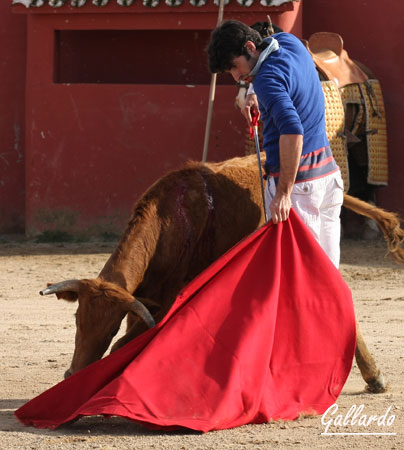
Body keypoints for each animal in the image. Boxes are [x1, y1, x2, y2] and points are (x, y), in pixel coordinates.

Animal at [41, 153, 404, 392]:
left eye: (110, 325)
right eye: (77, 319)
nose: (73, 374)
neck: (171, 219)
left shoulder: (165, 299)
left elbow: (122, 347)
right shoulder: (144, 300)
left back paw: (373, 376)